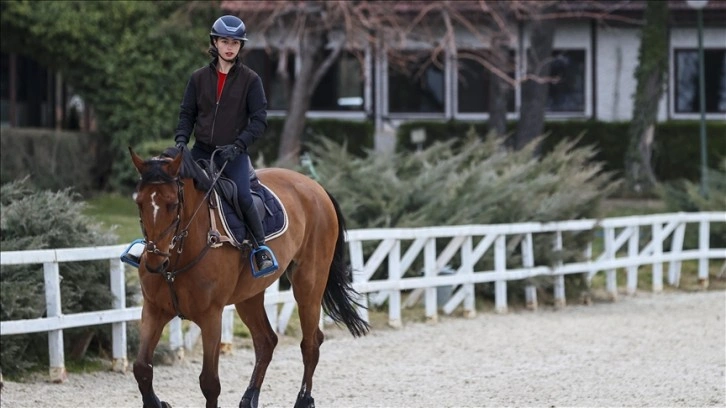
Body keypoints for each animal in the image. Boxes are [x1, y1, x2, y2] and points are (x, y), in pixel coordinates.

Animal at [128, 147, 370, 408]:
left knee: (311, 343)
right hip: (248, 296)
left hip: (308, 285)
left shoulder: (211, 316)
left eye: (173, 204)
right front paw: (157, 402)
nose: (155, 263)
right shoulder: (154, 310)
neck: (178, 256)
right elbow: (142, 368)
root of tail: (316, 187)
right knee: (266, 341)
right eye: (139, 203)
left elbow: (209, 382)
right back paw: (249, 398)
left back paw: (304, 399)